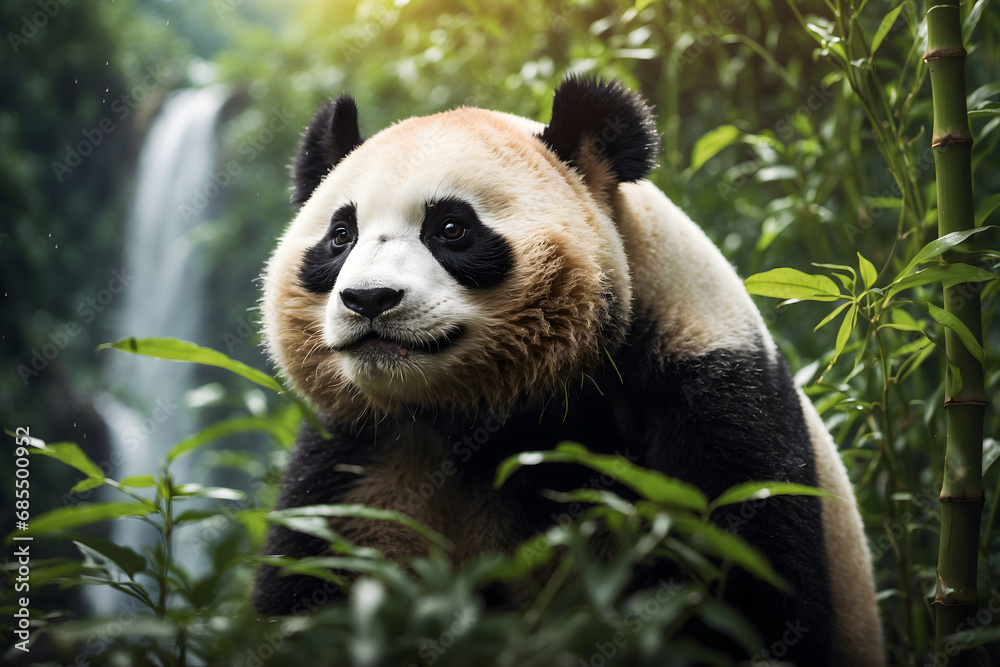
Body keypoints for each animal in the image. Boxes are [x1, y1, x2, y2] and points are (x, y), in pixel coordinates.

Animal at [251, 76, 884, 666]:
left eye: (451, 228)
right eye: (340, 236)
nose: (369, 299)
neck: (482, 414)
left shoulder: (708, 398)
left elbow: (741, 592)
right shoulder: (365, 451)